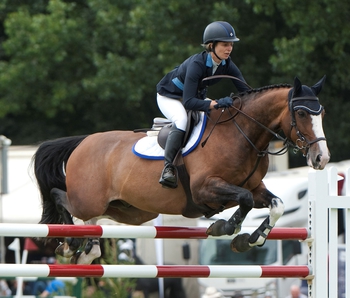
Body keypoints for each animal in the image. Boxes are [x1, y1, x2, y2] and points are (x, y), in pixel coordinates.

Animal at [31, 75, 330, 264]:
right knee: (60, 197)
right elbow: (243, 201)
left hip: (128, 210)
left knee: (92, 223)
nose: (321, 159)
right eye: (301, 113)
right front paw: (224, 227)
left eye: (322, 113)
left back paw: (85, 251)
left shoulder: (255, 188)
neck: (241, 134)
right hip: (89, 200)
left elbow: (276, 205)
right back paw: (70, 245)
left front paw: (250, 239)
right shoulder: (204, 190)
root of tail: (82, 142)